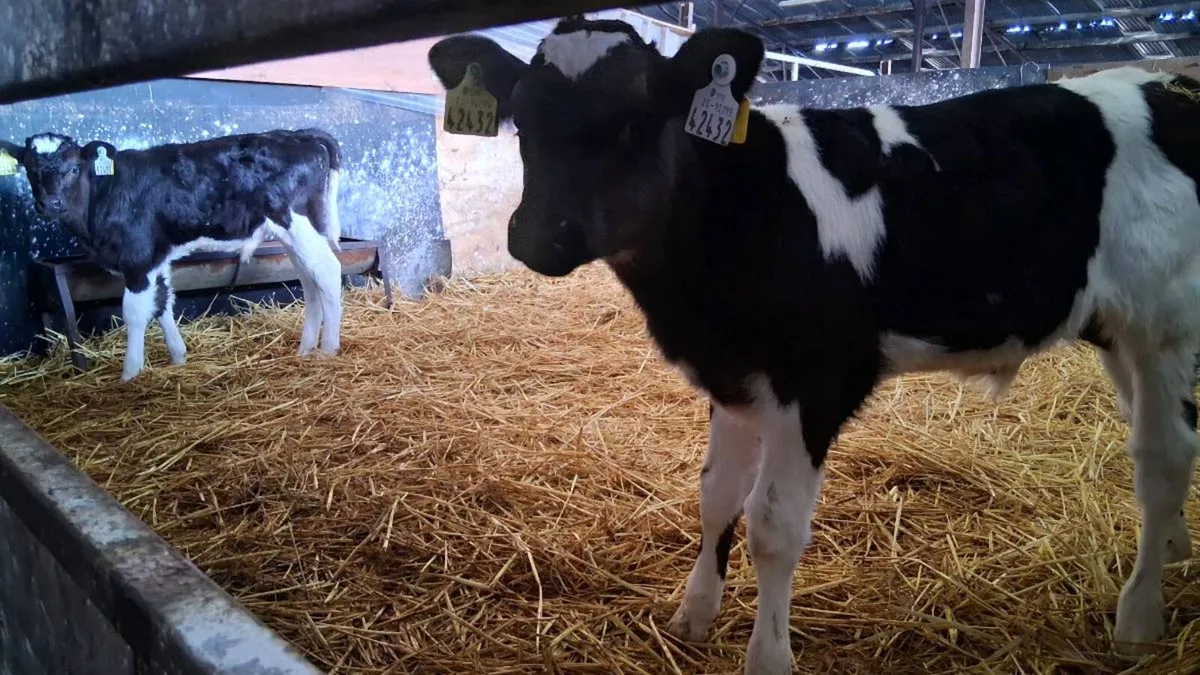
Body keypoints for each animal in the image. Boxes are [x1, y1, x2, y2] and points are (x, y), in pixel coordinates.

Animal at [0, 129, 345, 381]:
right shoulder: (157, 257)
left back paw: (328, 350)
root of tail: (300, 135)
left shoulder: (137, 260)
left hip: (297, 222)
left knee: (328, 272)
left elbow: (135, 313)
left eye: (74, 168)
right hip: (294, 234)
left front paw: (130, 374)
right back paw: (305, 349)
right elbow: (163, 301)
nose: (50, 204)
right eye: (30, 169)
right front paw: (178, 357)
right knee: (309, 281)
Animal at [427, 17, 1198, 673]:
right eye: (522, 119)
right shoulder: (733, 374)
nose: (536, 235)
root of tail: (1169, 87)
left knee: (1162, 459)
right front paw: (693, 615)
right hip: (1117, 331)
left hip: (1165, 324)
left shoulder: (817, 380)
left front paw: (767, 656)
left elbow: (772, 525)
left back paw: (1139, 616)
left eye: (633, 120)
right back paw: (1175, 553)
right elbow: (716, 495)